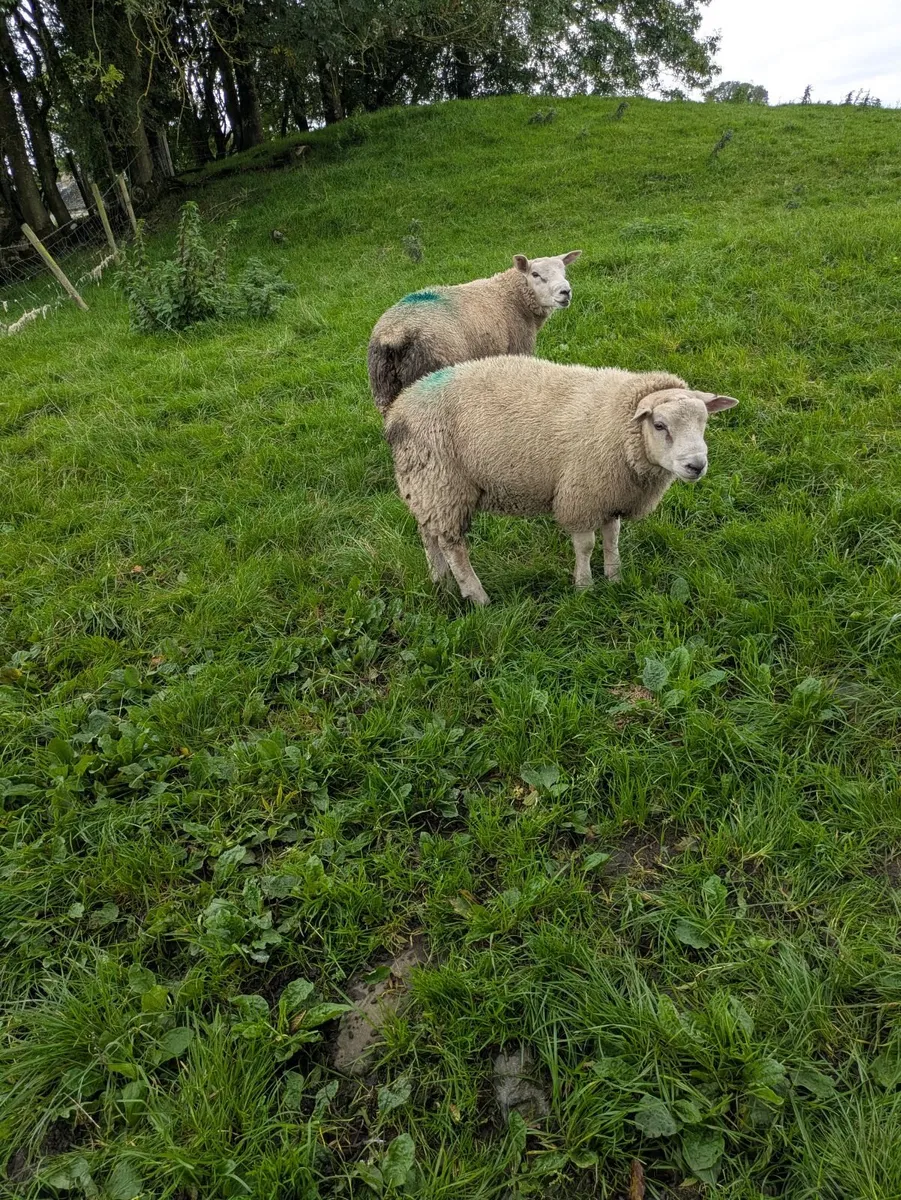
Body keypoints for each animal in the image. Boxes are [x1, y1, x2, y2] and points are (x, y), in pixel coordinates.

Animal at [367, 251, 581, 415]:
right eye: (535, 274)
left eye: (564, 270)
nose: (565, 291)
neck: (512, 296)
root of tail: (394, 335)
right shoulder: (519, 348)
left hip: (383, 388)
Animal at [384, 357, 738, 605]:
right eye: (660, 425)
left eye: (704, 422)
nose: (696, 465)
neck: (621, 427)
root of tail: (400, 407)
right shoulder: (582, 495)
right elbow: (586, 545)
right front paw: (584, 586)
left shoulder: (610, 495)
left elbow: (612, 538)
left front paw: (615, 577)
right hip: (443, 481)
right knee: (452, 544)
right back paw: (477, 596)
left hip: (425, 485)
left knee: (428, 533)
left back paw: (439, 580)